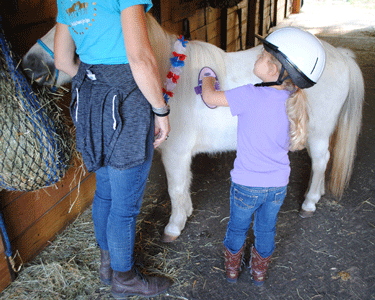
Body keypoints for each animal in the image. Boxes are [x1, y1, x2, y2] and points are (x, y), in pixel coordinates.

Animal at [22, 15, 364, 243]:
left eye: (78, 32)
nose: (30, 66)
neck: (165, 76)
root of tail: (341, 56)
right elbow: (182, 186)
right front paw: (184, 215)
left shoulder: (175, 152)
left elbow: (175, 188)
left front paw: (174, 226)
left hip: (317, 133)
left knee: (321, 161)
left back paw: (309, 202)